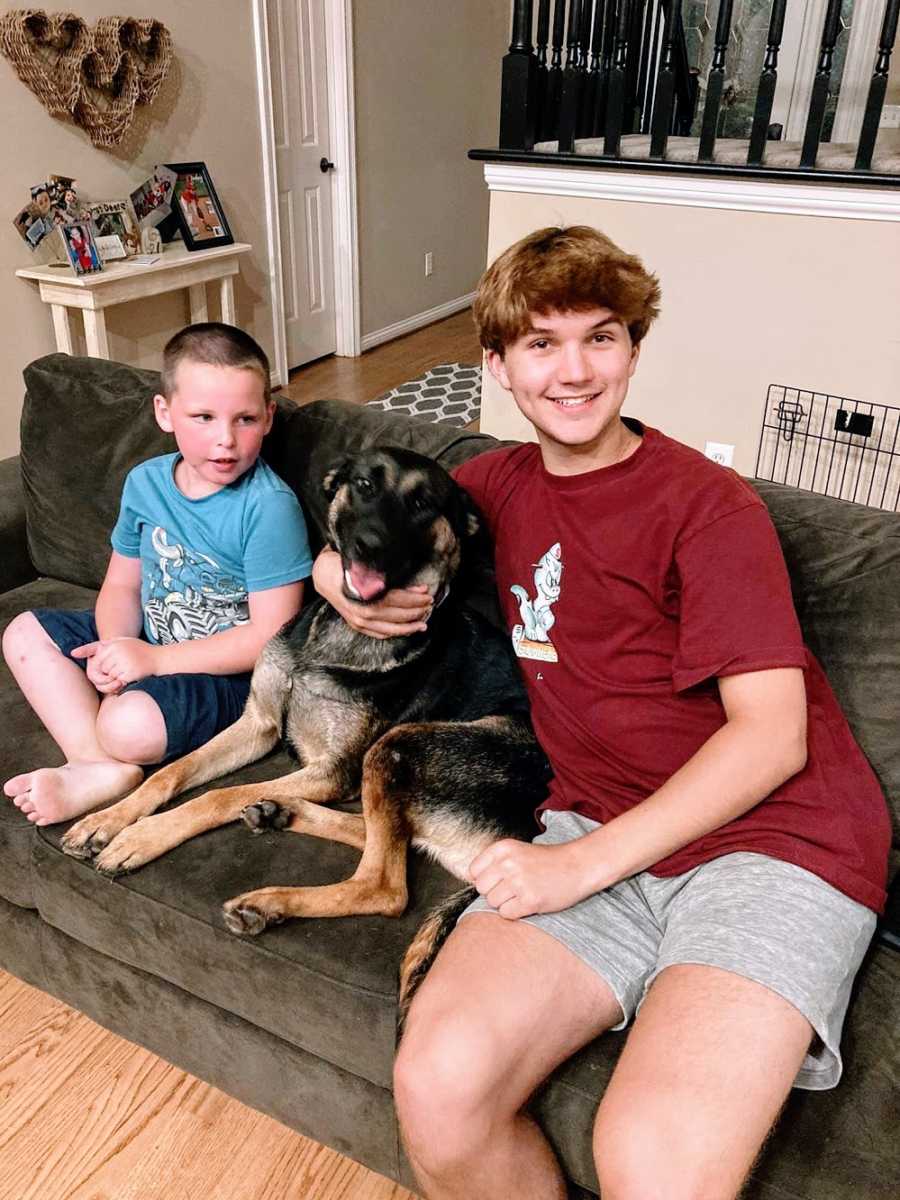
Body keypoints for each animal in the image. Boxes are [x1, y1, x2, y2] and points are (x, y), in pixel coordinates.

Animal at [61, 451, 549, 1003]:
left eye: (423, 503)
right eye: (365, 485)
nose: (368, 545)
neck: (341, 633)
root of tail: (533, 835)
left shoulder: (333, 770)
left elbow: (216, 796)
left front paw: (141, 837)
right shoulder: (259, 723)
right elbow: (173, 772)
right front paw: (109, 819)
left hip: (400, 745)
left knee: (385, 887)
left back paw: (269, 899)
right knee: (385, 838)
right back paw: (279, 811)